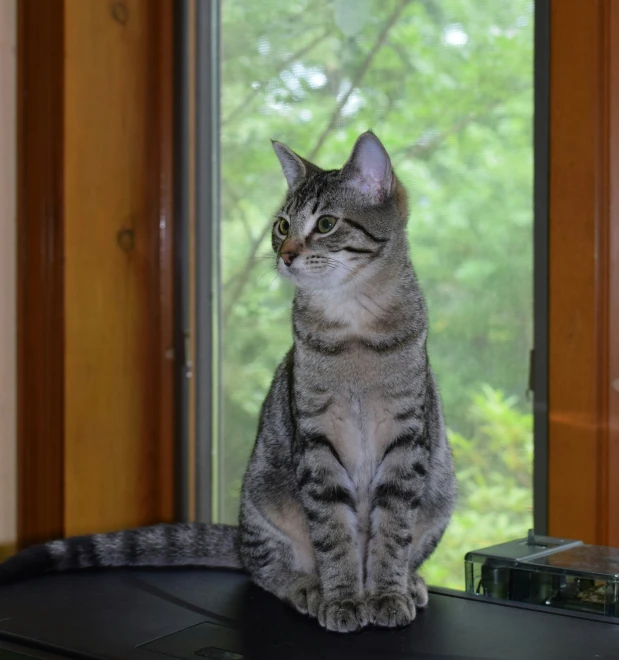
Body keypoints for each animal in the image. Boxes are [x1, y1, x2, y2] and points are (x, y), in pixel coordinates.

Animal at [0, 130, 458, 636]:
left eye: (326, 224)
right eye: (281, 225)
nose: (285, 254)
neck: (353, 327)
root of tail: (238, 537)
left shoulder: (406, 438)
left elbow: (392, 531)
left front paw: (387, 593)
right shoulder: (316, 441)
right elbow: (333, 532)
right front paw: (342, 598)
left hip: (441, 492)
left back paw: (410, 583)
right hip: (263, 503)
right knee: (264, 568)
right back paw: (308, 587)